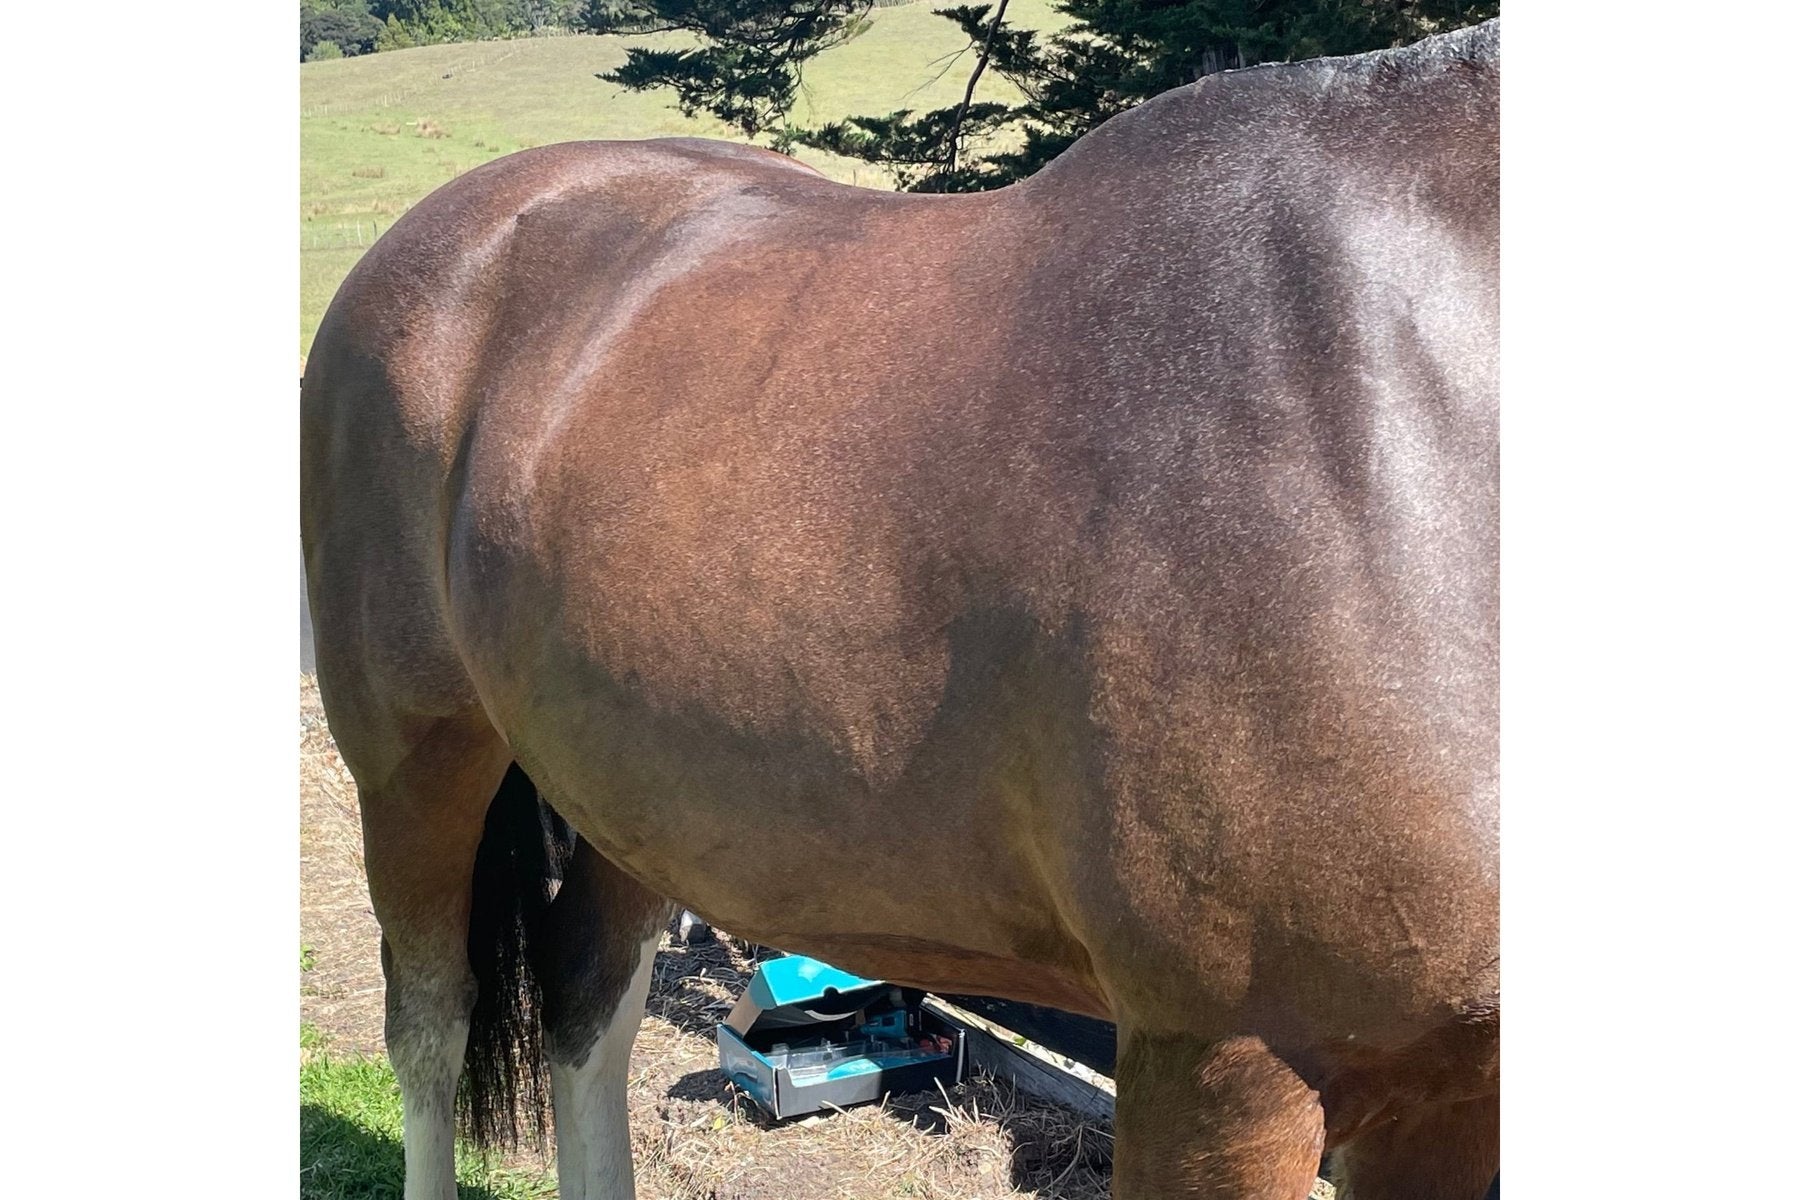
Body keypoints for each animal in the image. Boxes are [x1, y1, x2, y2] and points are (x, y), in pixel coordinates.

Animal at [301, 19, 1499, 1199]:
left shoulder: (1449, 1086)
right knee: (433, 1022)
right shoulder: (1224, 1059)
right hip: (418, 763)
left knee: (585, 1000)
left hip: (627, 795)